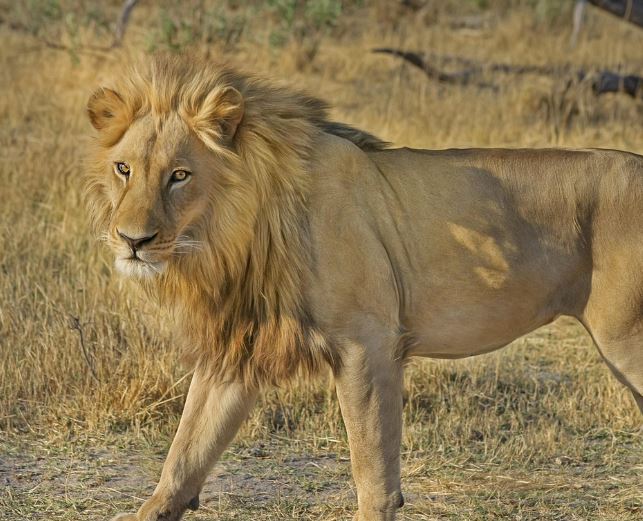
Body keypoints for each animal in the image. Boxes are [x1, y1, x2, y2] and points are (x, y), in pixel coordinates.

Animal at [86, 55, 643, 521]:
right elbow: (185, 454)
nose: (133, 241)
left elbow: (372, 471)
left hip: (627, 341)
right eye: (123, 169)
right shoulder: (239, 348)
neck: (234, 234)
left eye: (180, 175)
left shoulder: (366, 344)